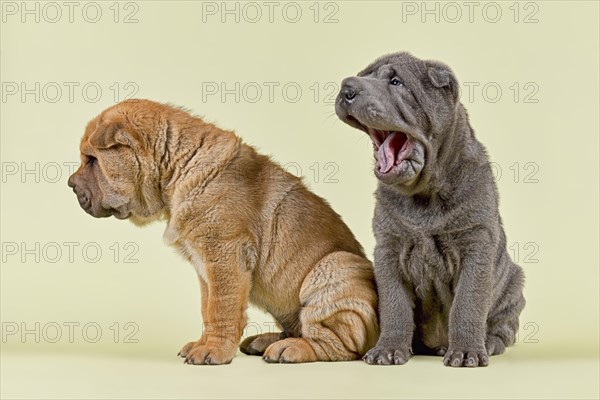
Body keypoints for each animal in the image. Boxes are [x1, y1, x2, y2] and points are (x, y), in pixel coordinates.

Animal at [68, 98, 378, 364]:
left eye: (92, 160)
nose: (70, 184)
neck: (178, 166)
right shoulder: (205, 265)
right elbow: (208, 307)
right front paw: (202, 344)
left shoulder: (224, 255)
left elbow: (222, 307)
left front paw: (213, 351)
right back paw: (266, 340)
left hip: (334, 266)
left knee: (339, 345)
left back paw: (290, 348)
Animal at [336, 53, 528, 368]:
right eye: (363, 76)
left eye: (396, 82)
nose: (347, 87)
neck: (424, 195)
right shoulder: (388, 249)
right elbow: (394, 305)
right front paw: (388, 349)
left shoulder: (476, 244)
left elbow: (468, 303)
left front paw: (466, 352)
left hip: (514, 283)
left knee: (504, 327)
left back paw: (488, 342)